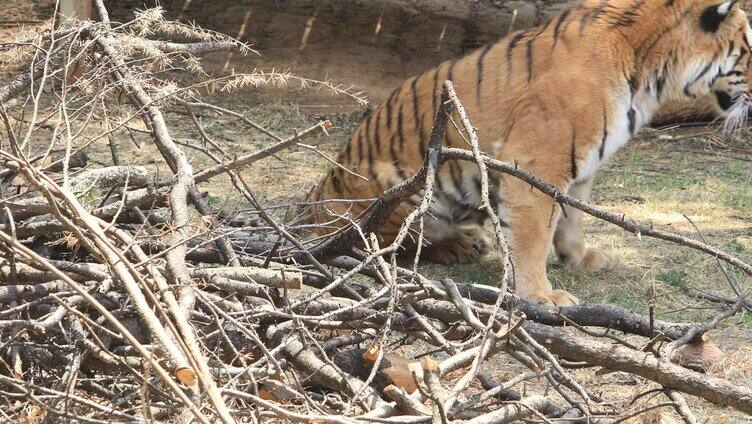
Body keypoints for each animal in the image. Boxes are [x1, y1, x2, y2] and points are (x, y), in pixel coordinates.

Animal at [296, 0, 752, 306]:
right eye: (748, 53)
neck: (651, 73)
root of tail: (309, 205)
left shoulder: (579, 167)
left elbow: (571, 219)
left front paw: (580, 258)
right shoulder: (536, 163)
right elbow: (533, 235)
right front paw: (541, 295)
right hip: (400, 191)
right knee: (389, 244)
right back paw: (457, 246)